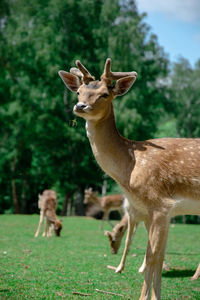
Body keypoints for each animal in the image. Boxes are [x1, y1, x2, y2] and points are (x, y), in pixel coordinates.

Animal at [59, 58, 200, 300]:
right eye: (78, 92)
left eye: (105, 94)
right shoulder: (156, 211)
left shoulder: (160, 204)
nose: (80, 106)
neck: (129, 170)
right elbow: (158, 256)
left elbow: (151, 257)